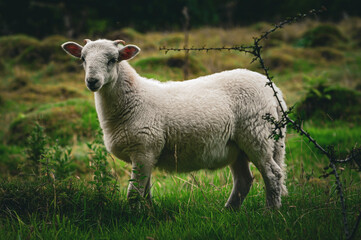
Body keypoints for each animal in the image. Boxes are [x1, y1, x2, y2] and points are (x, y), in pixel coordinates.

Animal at [62, 39, 286, 208]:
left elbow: (134, 194)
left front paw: (134, 218)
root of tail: (274, 91)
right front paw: (148, 215)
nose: (92, 81)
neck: (134, 98)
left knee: (273, 175)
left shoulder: (143, 149)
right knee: (244, 181)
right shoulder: (148, 153)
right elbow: (145, 193)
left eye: (113, 59)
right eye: (83, 59)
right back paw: (229, 211)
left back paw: (270, 212)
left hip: (257, 134)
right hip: (237, 147)